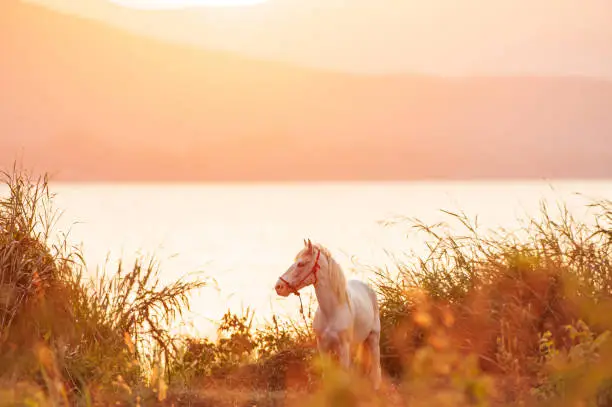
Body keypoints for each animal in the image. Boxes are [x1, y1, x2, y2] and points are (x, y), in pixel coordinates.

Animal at [274, 241, 380, 390]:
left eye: (301, 264)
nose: (278, 287)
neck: (331, 312)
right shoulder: (323, 347)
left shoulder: (343, 348)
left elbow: (344, 377)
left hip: (373, 337)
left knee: (376, 365)